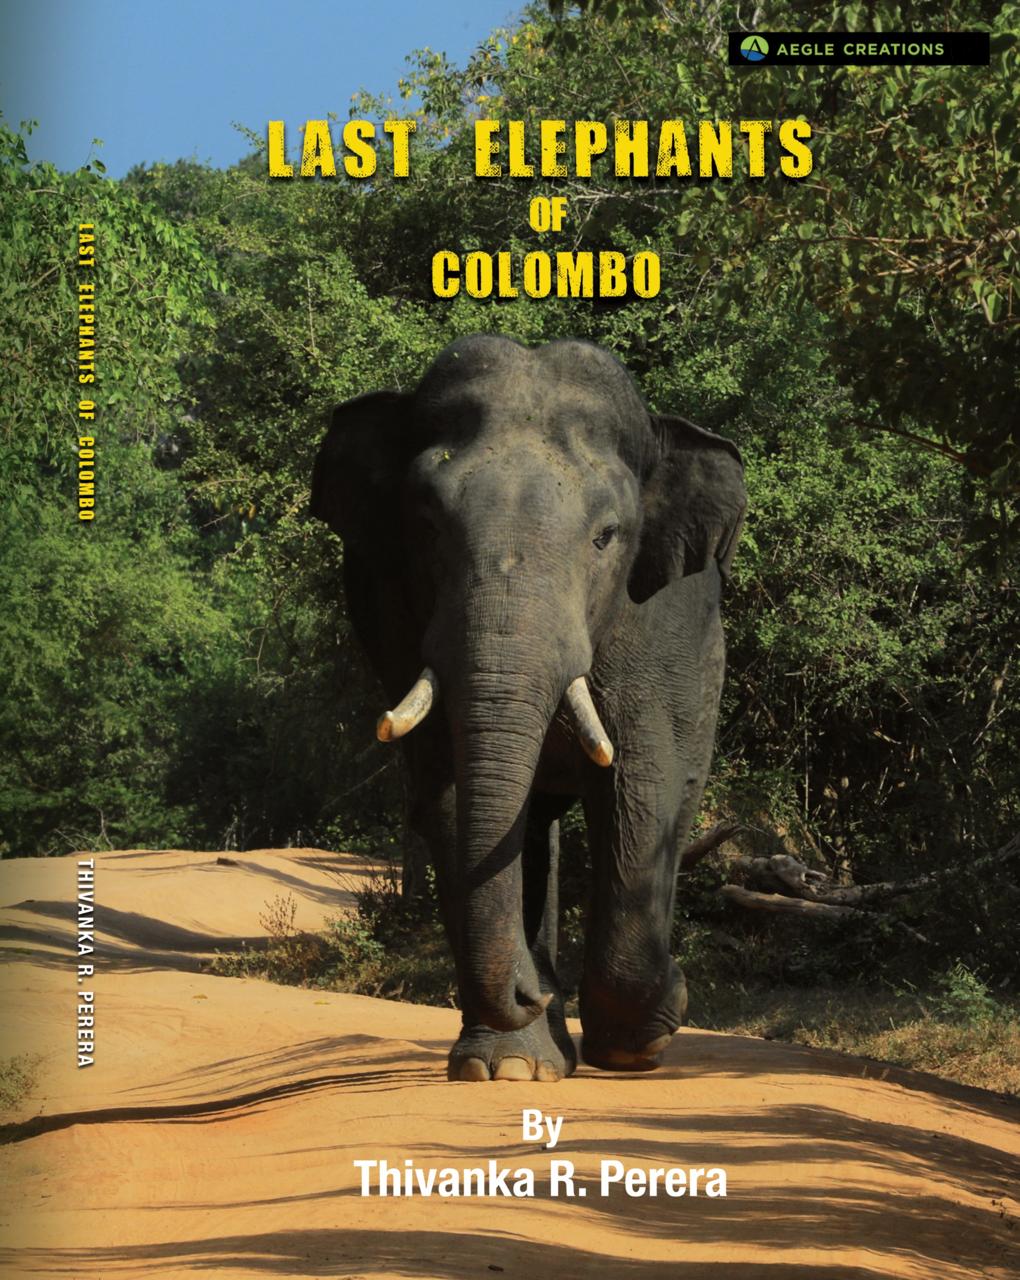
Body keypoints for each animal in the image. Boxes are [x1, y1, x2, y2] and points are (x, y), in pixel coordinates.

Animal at [311, 334, 745, 1082]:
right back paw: (529, 1050)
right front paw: (510, 1062)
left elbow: (641, 782)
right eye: (426, 526)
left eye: (606, 536)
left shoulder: (660, 617)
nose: (527, 990)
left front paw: (642, 1039)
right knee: (530, 825)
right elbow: (450, 793)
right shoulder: (390, 608)